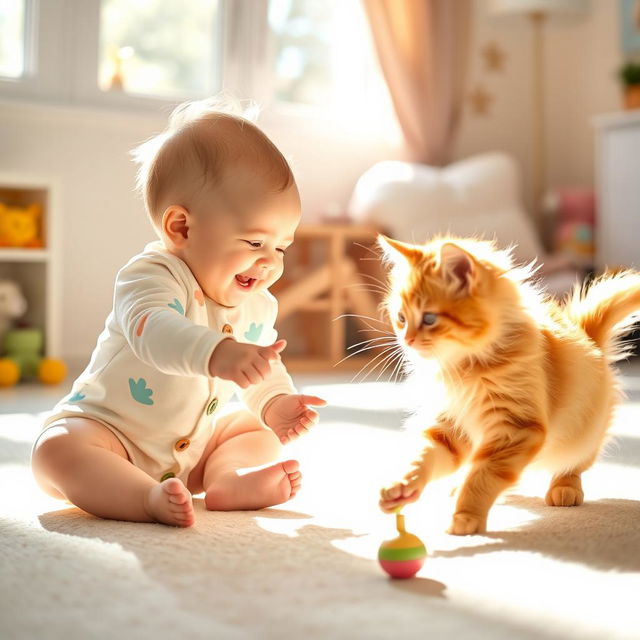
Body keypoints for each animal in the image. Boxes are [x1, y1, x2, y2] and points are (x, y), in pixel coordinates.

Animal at [378, 235, 640, 536]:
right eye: (401, 318)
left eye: (429, 319)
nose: (406, 340)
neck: (464, 368)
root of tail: (588, 338)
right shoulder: (449, 424)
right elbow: (422, 457)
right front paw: (402, 487)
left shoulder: (516, 428)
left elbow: (483, 477)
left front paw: (466, 516)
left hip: (582, 433)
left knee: (572, 464)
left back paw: (565, 488)